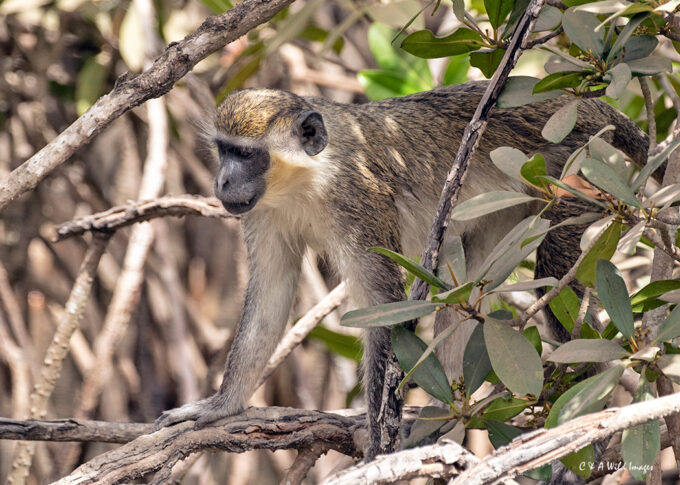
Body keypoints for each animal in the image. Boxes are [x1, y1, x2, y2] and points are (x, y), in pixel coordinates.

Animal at [155, 81, 648, 459]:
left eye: (245, 154)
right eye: (223, 151)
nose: (221, 181)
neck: (310, 177)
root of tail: (582, 103)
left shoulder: (358, 202)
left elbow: (383, 311)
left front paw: (377, 448)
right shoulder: (263, 213)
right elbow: (270, 297)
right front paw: (222, 406)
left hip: (577, 167)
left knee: (553, 269)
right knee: (467, 290)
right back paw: (444, 422)